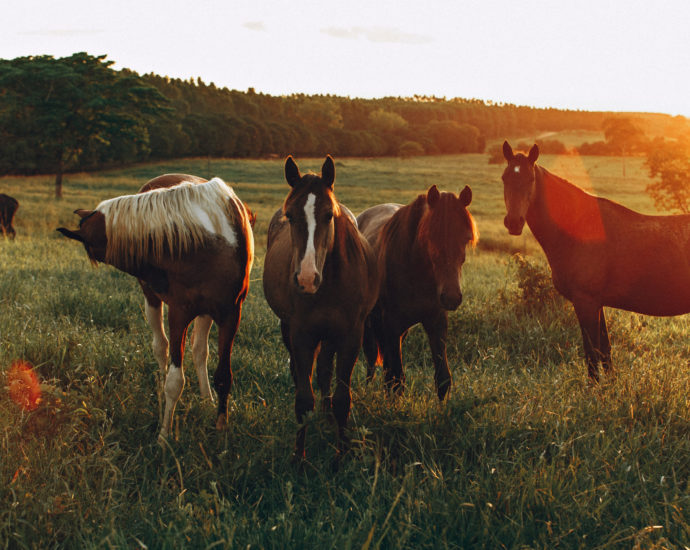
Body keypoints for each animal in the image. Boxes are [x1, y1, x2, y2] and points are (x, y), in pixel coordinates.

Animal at [56, 175, 254, 442]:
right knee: (161, 348)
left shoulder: (230, 314)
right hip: (153, 301)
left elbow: (224, 375)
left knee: (199, 351)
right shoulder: (178, 313)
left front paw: (221, 428)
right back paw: (162, 396)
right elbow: (174, 380)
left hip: (205, 312)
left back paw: (206, 399)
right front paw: (164, 435)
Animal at [260, 156, 376, 462]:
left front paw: (341, 455)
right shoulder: (302, 334)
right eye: (290, 216)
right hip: (289, 328)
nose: (306, 278)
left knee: (324, 369)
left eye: (328, 215)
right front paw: (299, 458)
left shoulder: (350, 336)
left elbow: (342, 398)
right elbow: (303, 399)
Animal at [358, 185, 476, 402]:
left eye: (466, 238)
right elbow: (396, 379)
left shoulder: (436, 321)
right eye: (431, 236)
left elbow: (443, 378)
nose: (451, 297)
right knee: (372, 359)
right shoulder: (391, 323)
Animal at [498, 142, 688, 382]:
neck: (580, 228)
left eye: (530, 179)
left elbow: (591, 353)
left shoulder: (585, 302)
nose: (513, 222)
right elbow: (605, 352)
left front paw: (594, 388)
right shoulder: (598, 303)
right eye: (504, 178)